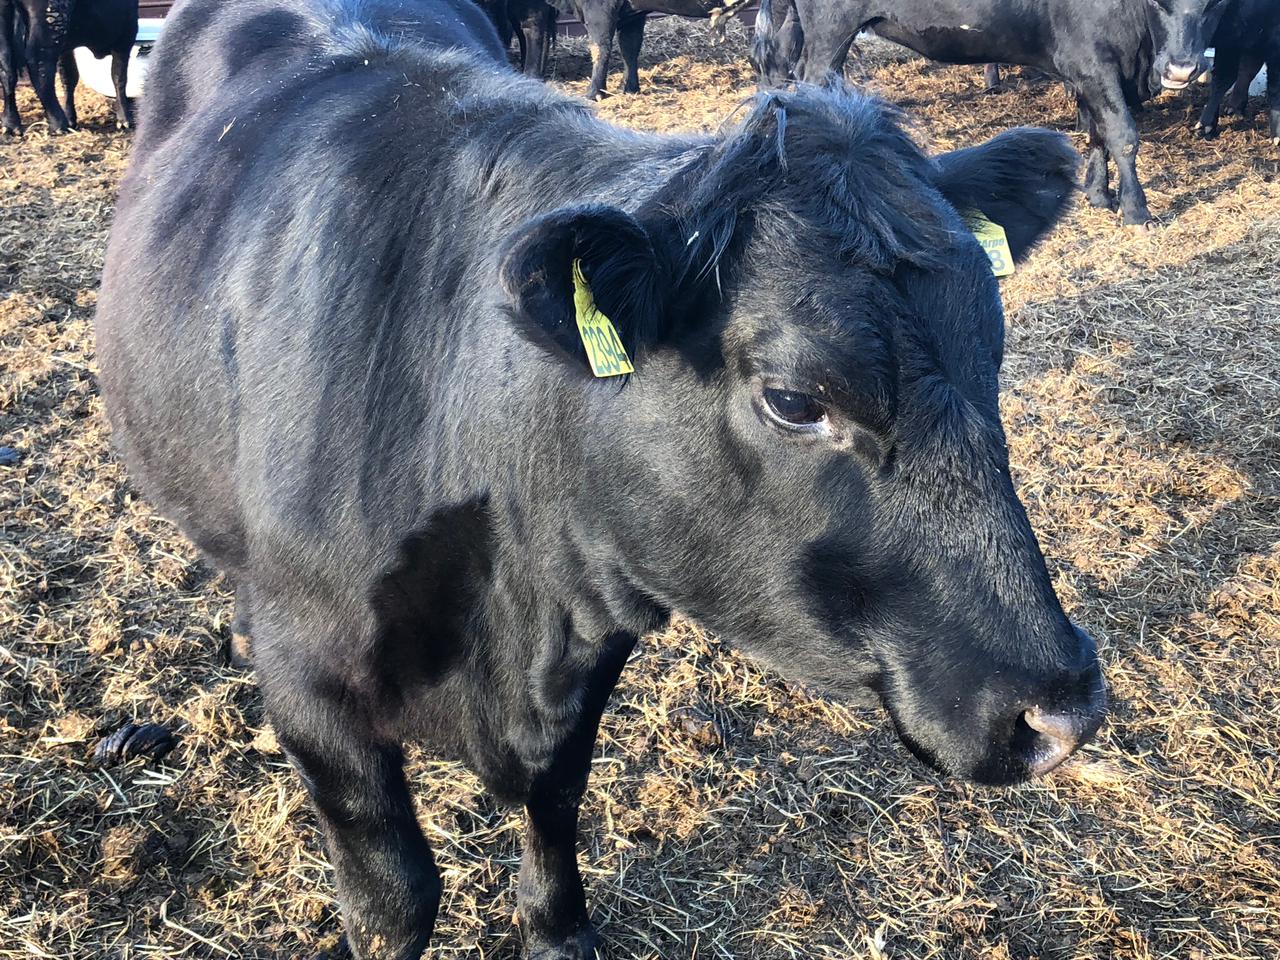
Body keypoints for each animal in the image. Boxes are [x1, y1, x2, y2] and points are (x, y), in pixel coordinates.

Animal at [0, 0, 136, 134]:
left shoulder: (66, 48)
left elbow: (68, 77)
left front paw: (71, 118)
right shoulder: (126, 35)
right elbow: (119, 77)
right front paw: (124, 120)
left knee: (7, 69)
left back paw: (10, 124)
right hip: (50, 24)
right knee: (39, 65)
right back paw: (59, 124)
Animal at [94, 0, 1105, 957]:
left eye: (992, 350)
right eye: (794, 399)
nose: (1064, 708)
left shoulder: (585, 644)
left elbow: (558, 794)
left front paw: (555, 927)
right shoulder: (316, 691)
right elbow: (395, 900)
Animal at [757, 0, 1228, 227]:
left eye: (1212, 5)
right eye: (1158, 2)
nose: (1182, 68)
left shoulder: (1096, 74)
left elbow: (1098, 133)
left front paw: (1098, 195)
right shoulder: (1094, 64)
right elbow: (1123, 135)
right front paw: (1136, 212)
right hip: (831, 32)